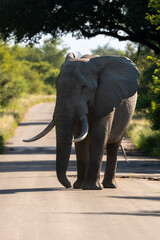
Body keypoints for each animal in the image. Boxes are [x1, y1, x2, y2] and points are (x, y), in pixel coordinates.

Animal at [23, 53, 139, 190]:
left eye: (84, 87)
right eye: (56, 86)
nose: (68, 185)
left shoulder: (106, 98)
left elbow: (100, 135)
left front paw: (92, 187)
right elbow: (79, 136)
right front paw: (79, 186)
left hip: (127, 117)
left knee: (114, 145)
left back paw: (109, 186)